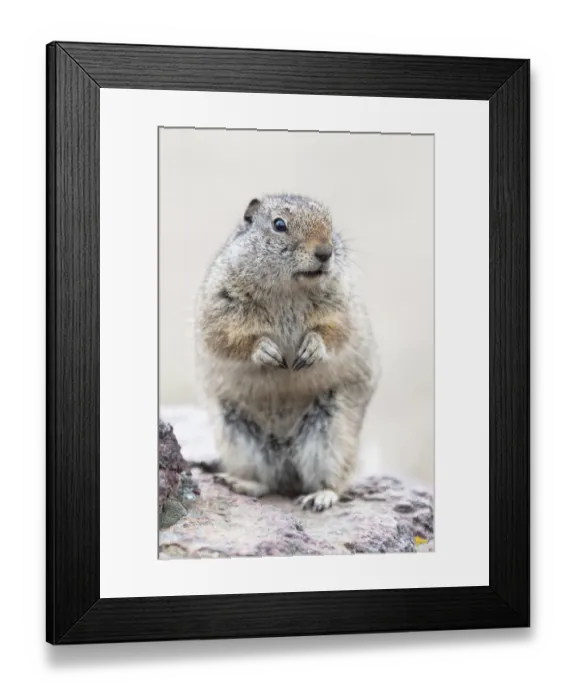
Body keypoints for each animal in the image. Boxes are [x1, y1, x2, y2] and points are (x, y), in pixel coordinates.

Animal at [194, 194, 380, 512]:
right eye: (279, 224)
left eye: (330, 223)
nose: (325, 252)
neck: (289, 290)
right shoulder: (219, 309)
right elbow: (228, 338)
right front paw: (266, 351)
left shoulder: (342, 307)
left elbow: (334, 331)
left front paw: (311, 349)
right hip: (238, 437)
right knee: (267, 483)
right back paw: (239, 482)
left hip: (332, 434)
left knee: (333, 480)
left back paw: (320, 497)